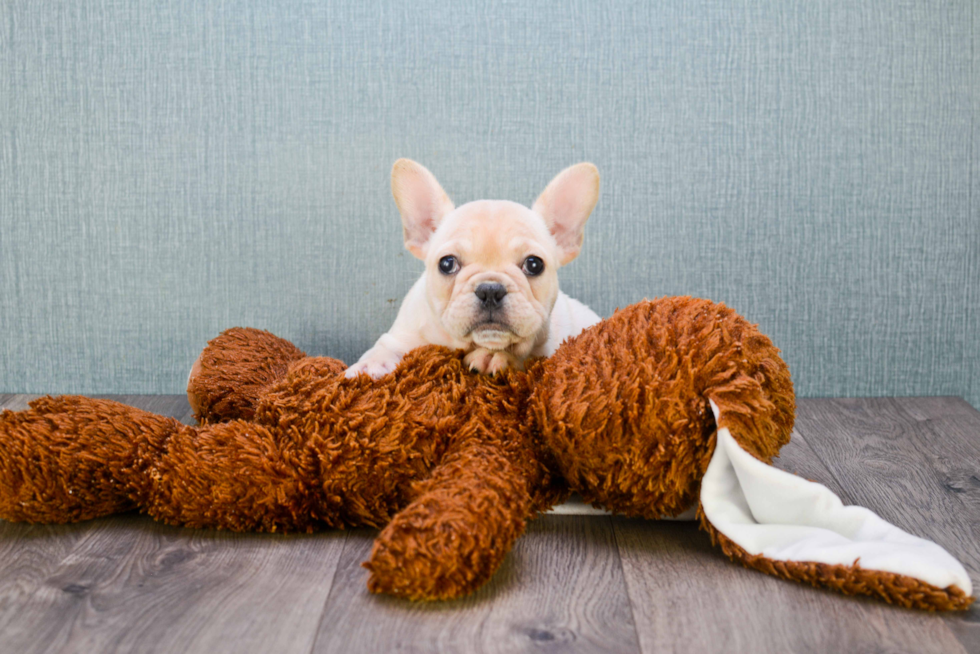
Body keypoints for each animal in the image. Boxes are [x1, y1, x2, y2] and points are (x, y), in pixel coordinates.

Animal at [344, 158, 604, 380]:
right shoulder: (403, 334)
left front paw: (495, 356)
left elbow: (523, 358)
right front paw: (370, 365)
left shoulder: (543, 352)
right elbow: (385, 346)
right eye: (447, 264)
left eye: (534, 264)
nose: (490, 290)